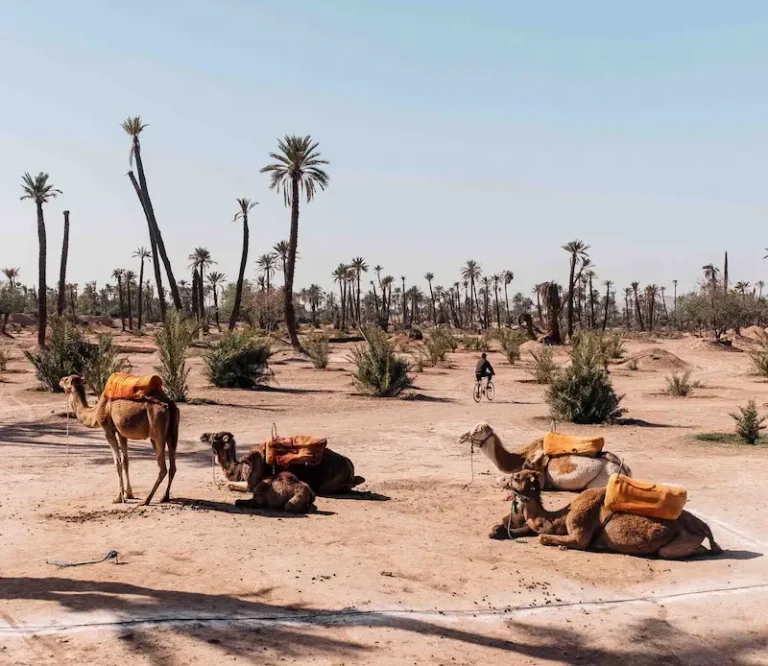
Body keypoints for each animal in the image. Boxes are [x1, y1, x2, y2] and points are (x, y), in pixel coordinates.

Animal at [59, 375, 179, 505]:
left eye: (66, 379)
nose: (60, 380)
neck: (95, 412)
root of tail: (169, 404)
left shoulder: (108, 431)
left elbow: (117, 463)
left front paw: (118, 498)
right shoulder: (122, 433)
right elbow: (125, 461)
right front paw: (129, 494)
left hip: (156, 431)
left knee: (163, 468)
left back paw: (146, 500)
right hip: (173, 433)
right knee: (173, 466)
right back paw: (164, 497)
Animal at [201, 431, 365, 495]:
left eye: (216, 436)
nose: (203, 435)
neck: (239, 468)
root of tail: (349, 469)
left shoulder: (251, 484)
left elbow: (229, 485)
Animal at [458, 423, 630, 491]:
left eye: (477, 431)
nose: (461, 437)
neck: (519, 458)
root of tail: (624, 469)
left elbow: (501, 480)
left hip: (600, 480)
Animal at [505, 470, 721, 558]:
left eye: (516, 476)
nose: (503, 480)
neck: (561, 516)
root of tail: (704, 527)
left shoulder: (579, 533)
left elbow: (543, 537)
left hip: (679, 543)